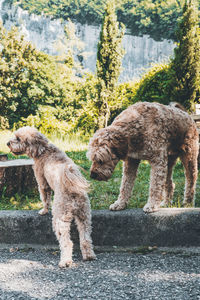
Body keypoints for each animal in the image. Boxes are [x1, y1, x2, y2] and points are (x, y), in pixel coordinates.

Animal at [7, 126, 96, 268]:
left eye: (18, 138)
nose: (7, 143)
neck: (43, 150)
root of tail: (73, 190)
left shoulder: (42, 181)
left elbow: (45, 198)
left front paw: (43, 211)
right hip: (85, 216)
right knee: (86, 238)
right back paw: (89, 256)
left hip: (60, 217)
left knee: (66, 241)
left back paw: (65, 261)